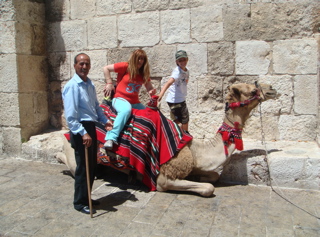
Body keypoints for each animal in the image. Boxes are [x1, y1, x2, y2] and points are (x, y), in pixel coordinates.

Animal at [59, 82, 278, 197]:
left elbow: (213, 177)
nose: (272, 88)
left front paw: (200, 177)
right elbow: (208, 188)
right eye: (252, 90)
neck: (196, 151)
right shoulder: (165, 176)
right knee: (71, 163)